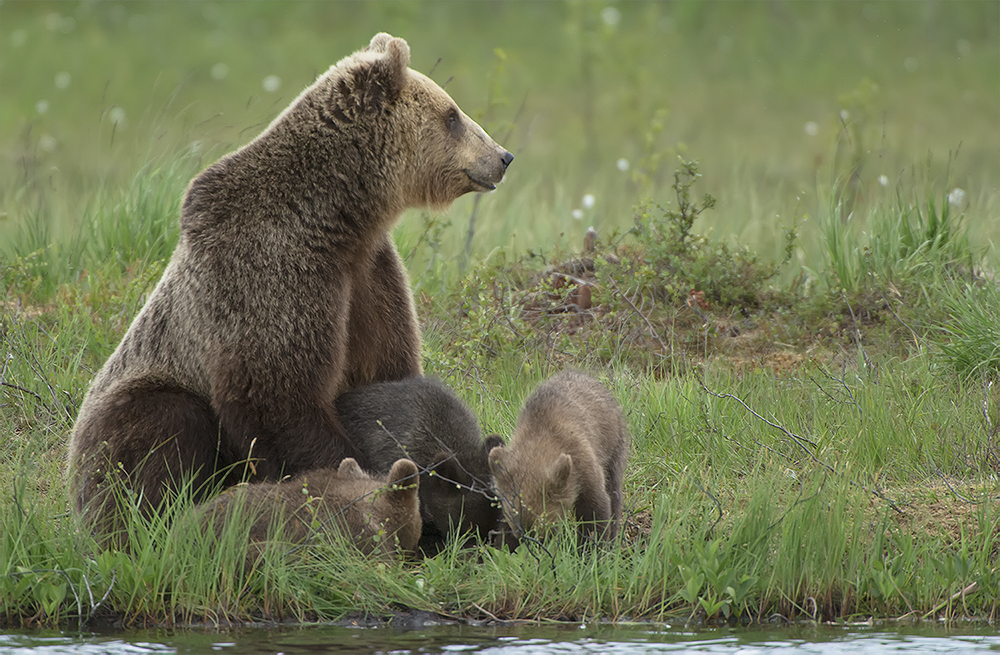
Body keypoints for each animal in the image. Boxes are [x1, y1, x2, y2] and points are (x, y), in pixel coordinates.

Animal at [68, 32, 516, 544]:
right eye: (453, 115)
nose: (503, 157)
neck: (338, 220)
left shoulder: (369, 276)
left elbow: (384, 367)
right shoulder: (274, 271)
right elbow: (277, 395)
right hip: (132, 403)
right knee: (159, 425)